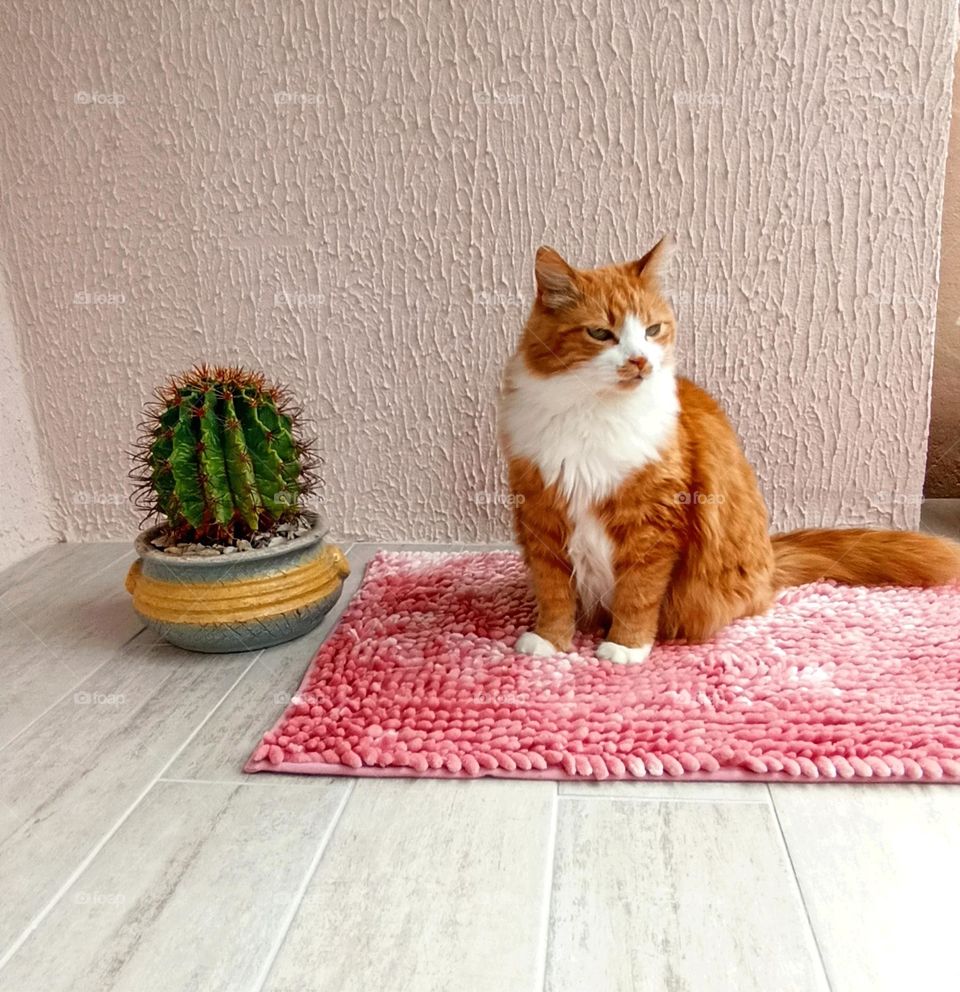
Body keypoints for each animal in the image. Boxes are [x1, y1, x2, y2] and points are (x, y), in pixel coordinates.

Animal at [498, 240, 956, 668]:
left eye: (652, 330)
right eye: (600, 334)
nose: (641, 361)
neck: (594, 412)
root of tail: (770, 560)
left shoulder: (653, 522)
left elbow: (638, 595)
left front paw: (626, 647)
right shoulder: (542, 514)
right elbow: (555, 593)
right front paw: (550, 641)